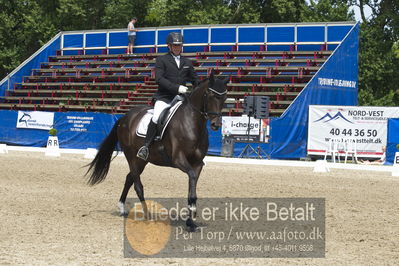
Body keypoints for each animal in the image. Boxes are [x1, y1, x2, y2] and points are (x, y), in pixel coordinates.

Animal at [85, 70, 228, 231]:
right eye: (210, 95)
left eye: (224, 97)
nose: (216, 124)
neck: (192, 124)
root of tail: (124, 118)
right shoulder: (178, 160)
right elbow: (191, 177)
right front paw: (192, 213)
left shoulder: (197, 164)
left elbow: (192, 187)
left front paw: (191, 221)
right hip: (131, 156)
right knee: (137, 185)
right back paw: (147, 216)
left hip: (141, 160)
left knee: (129, 178)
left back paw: (122, 208)